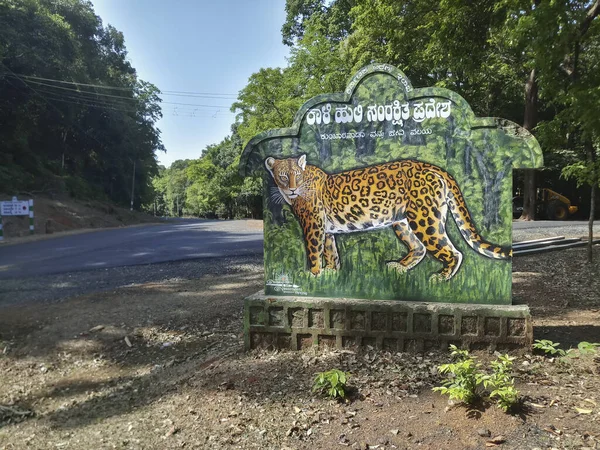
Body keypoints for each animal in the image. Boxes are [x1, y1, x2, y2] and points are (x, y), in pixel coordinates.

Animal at [266, 155, 510, 282]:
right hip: (402, 222)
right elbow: (331, 250)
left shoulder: (313, 224)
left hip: (425, 219)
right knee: (419, 248)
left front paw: (313, 275)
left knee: (453, 252)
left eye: (296, 176)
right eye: (283, 176)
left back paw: (439, 278)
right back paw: (398, 267)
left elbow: (313, 250)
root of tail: (433, 167)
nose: (292, 190)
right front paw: (331, 273)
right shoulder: (326, 228)